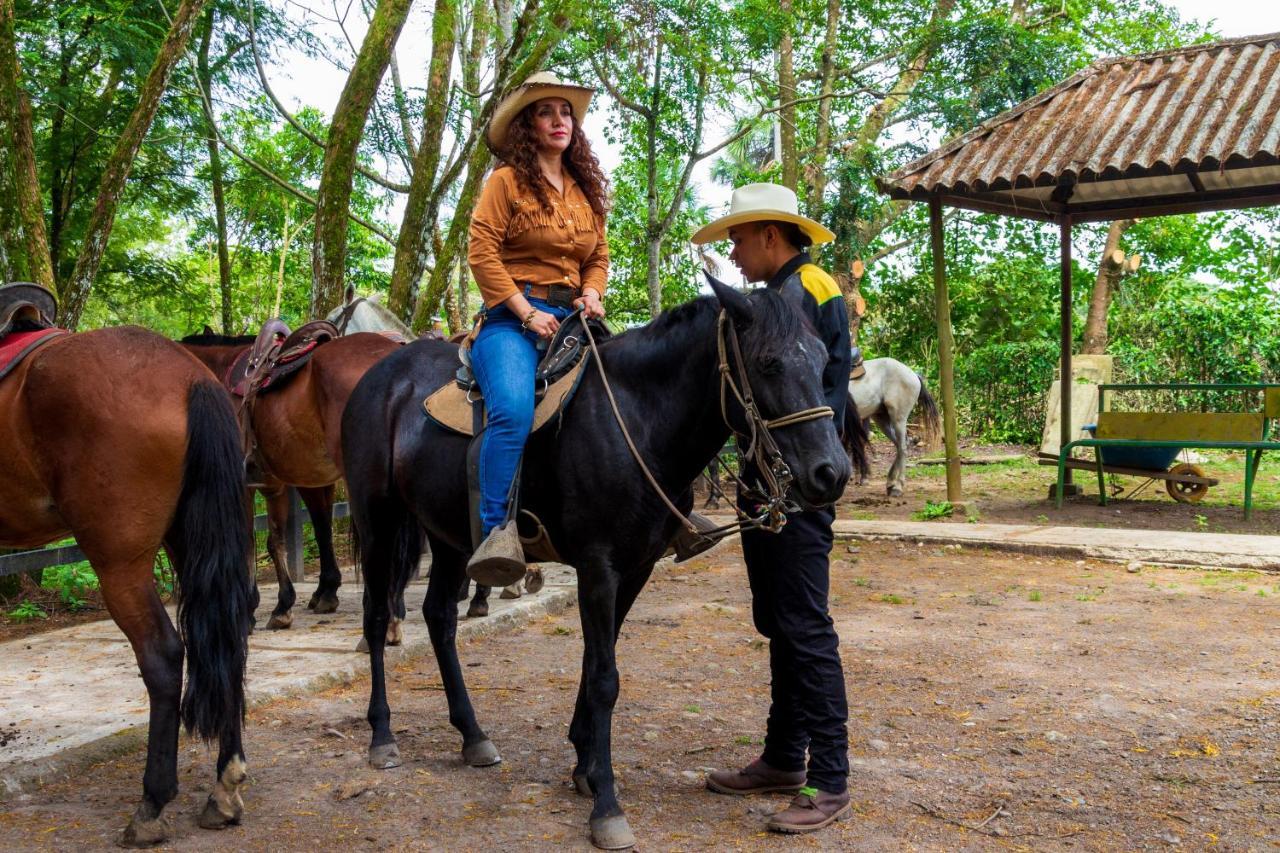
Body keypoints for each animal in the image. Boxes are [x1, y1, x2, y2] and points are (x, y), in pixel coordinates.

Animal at [0, 325, 253, 845]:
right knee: (227, 640)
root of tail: (191, 378)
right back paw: (223, 786)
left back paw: (151, 805)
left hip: (121, 566)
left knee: (163, 655)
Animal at [180, 327, 399, 627]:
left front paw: (267, 606)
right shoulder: (293, 482)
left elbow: (254, 541)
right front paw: (322, 593)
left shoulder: (246, 485)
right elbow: (305, 532)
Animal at [343, 277, 860, 845]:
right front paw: (607, 804)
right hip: (378, 520)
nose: (831, 473)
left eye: (822, 361)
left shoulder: (634, 570)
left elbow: (597, 661)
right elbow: (605, 678)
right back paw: (382, 735)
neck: (638, 417)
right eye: (768, 363)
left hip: (450, 537)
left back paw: (473, 735)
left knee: (439, 617)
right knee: (376, 618)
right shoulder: (597, 568)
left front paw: (585, 767)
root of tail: (381, 375)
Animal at [849, 356, 942, 494]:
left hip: (898, 419)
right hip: (881, 419)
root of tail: (913, 374)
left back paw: (897, 487)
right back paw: (891, 482)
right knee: (899, 445)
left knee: (903, 448)